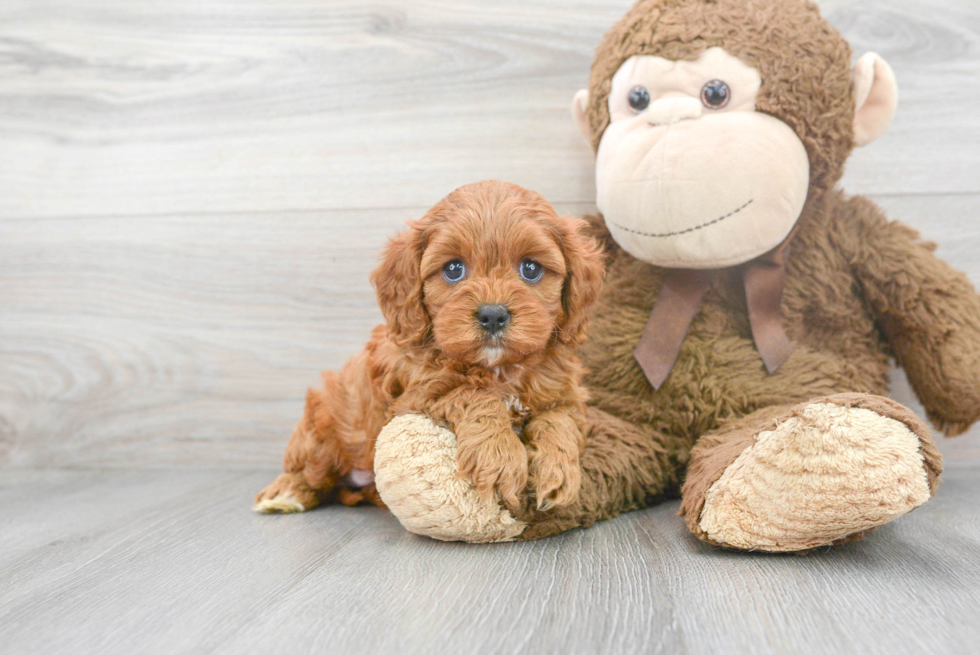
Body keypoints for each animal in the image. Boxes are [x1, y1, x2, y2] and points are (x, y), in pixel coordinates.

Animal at [253, 181, 604, 516]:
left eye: (531, 268)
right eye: (453, 269)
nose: (493, 315)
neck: (500, 368)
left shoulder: (567, 395)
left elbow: (559, 420)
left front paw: (558, 472)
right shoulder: (416, 394)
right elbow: (473, 394)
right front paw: (499, 456)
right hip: (323, 423)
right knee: (309, 471)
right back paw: (285, 493)